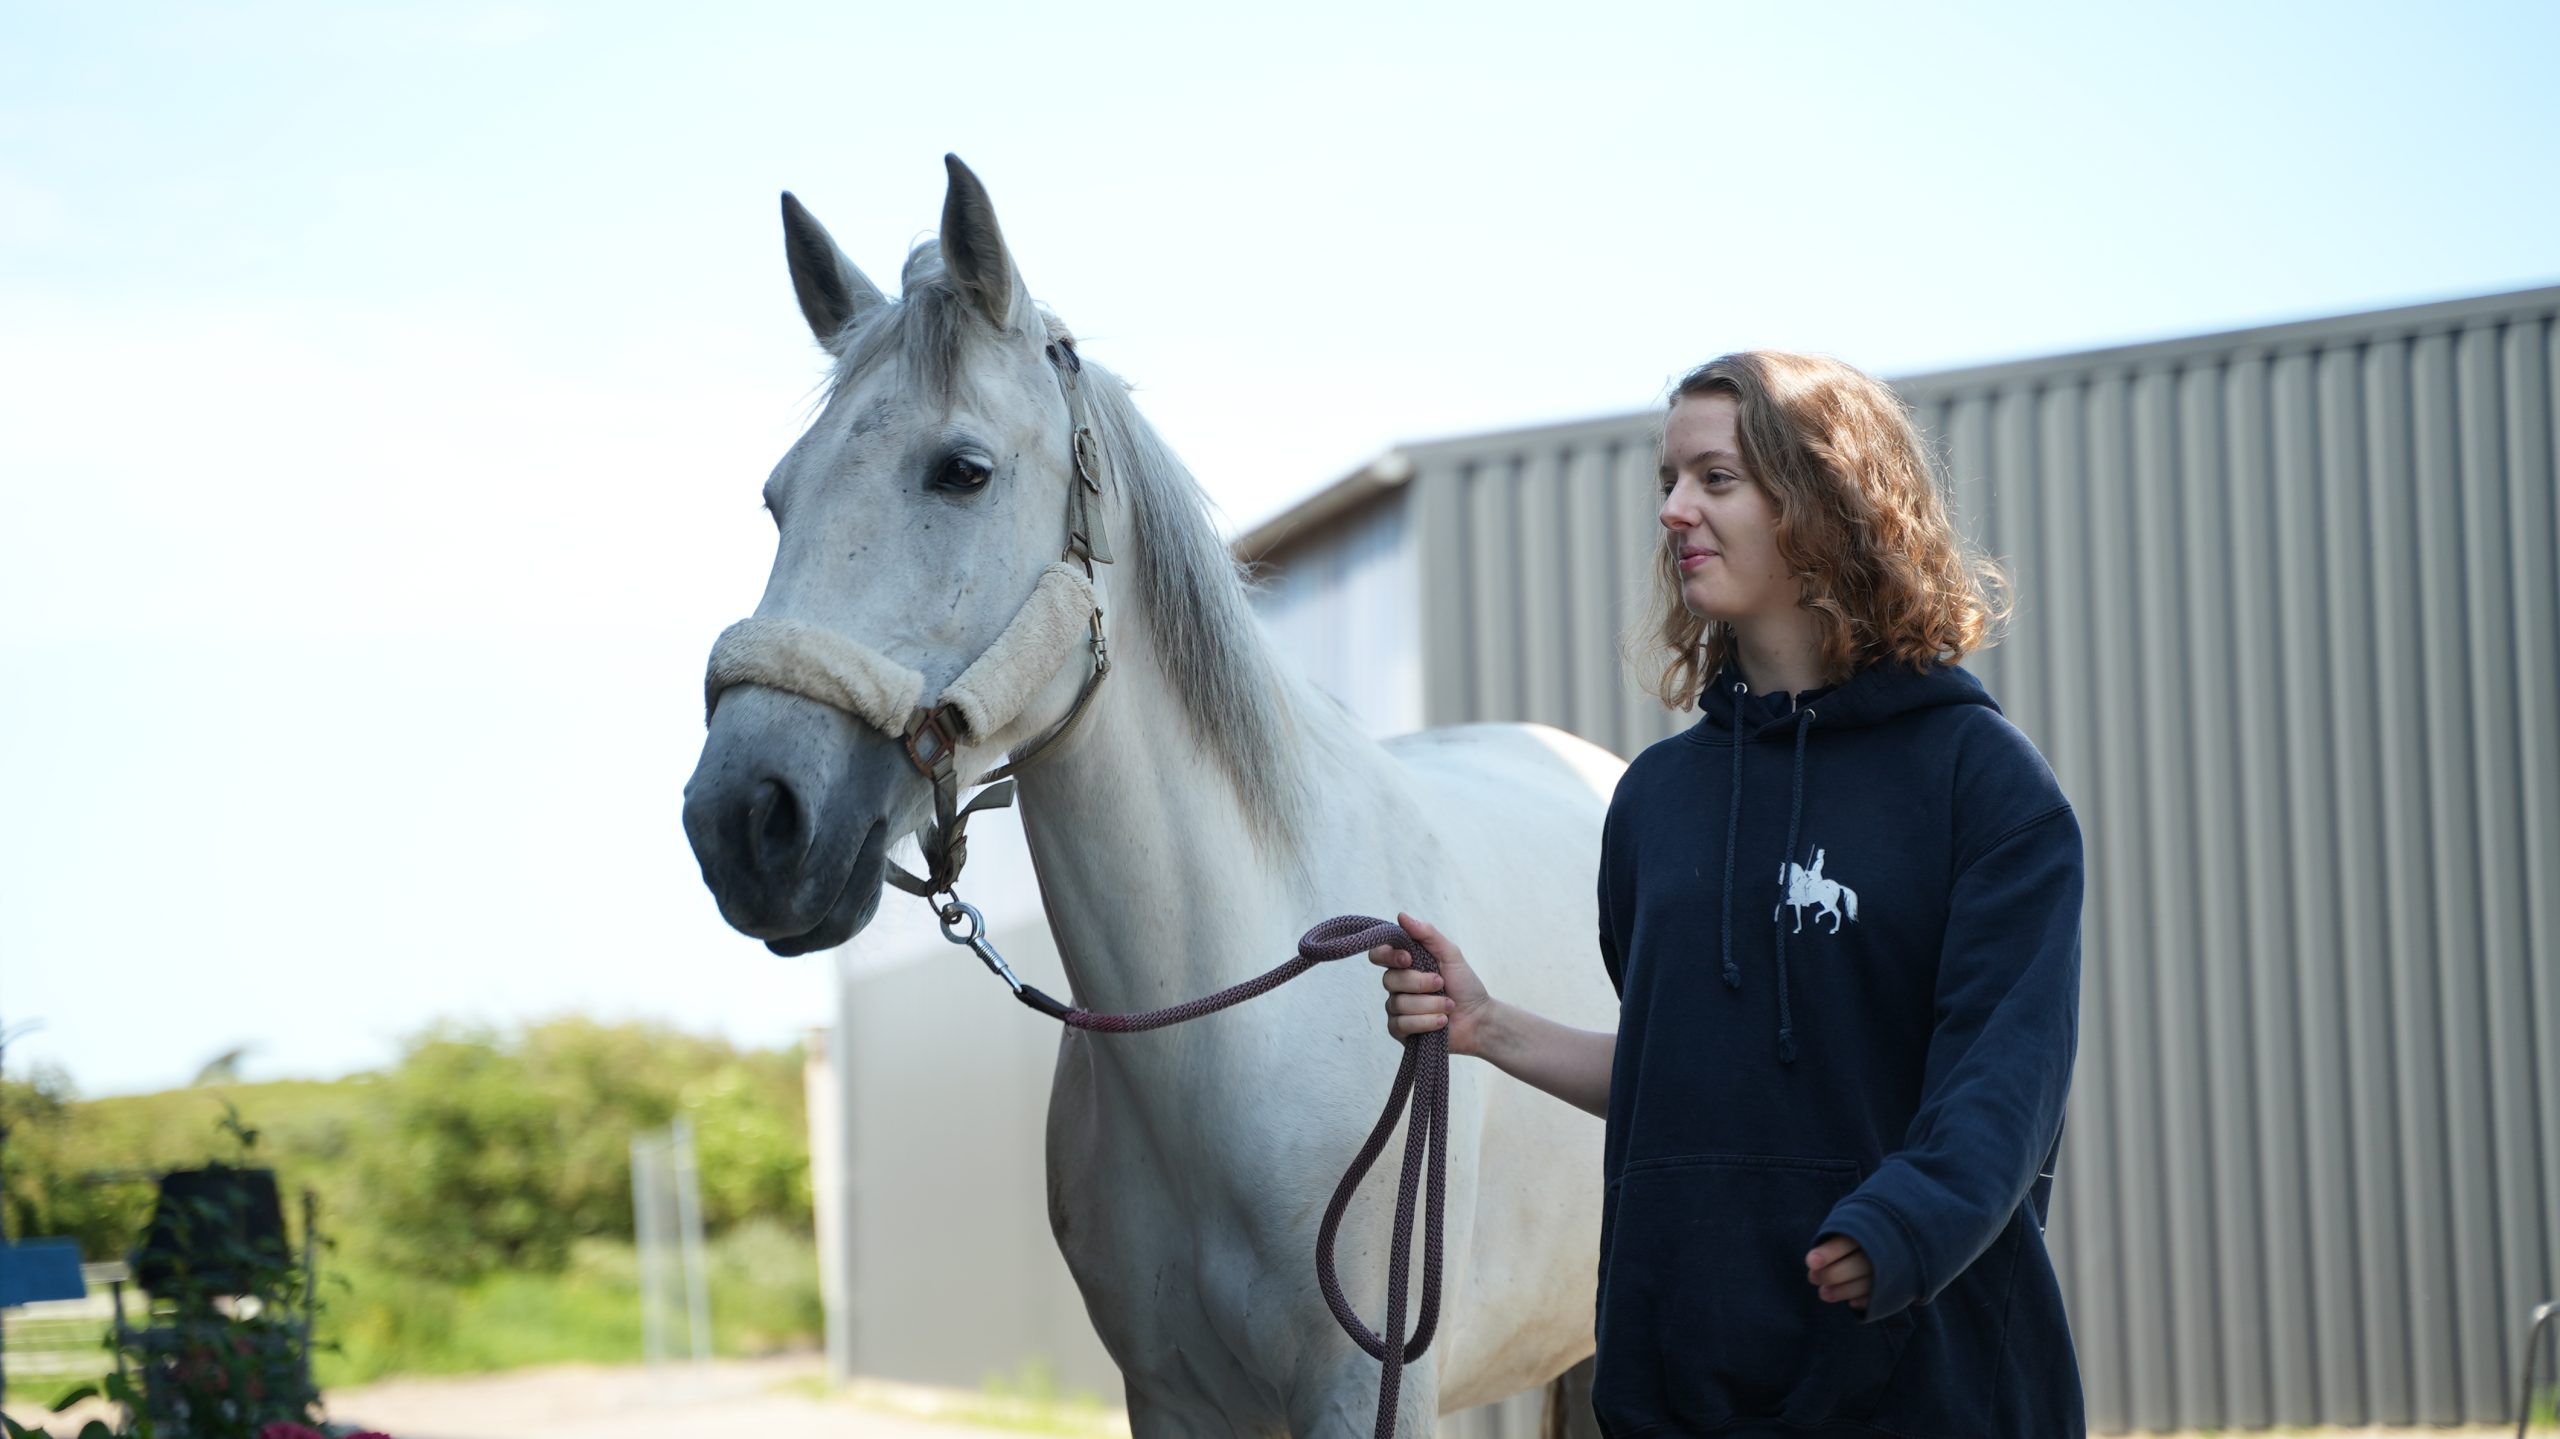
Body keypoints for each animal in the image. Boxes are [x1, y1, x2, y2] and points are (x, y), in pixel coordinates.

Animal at [682, 155, 1625, 1437]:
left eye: (961, 470)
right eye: (780, 498)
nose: (743, 821)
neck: (1229, 1029)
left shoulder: (1366, 1389)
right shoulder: (1167, 1394)